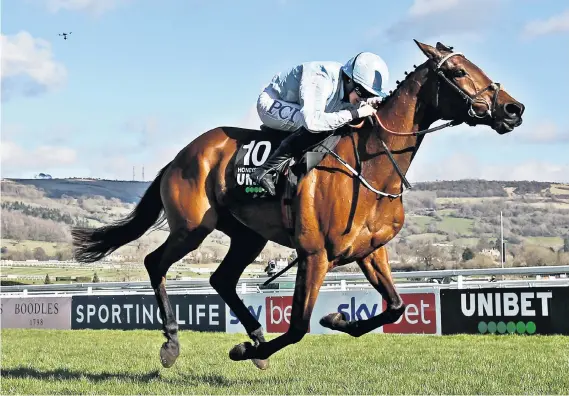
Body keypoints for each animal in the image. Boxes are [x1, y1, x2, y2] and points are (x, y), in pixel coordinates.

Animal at [71, 38, 524, 370]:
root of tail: (180, 156)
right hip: (192, 227)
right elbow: (298, 327)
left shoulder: (369, 251)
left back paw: (254, 333)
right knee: (155, 263)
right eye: (458, 71)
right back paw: (173, 341)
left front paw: (336, 318)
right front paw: (248, 349)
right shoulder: (313, 253)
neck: (373, 165)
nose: (512, 108)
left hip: (246, 236)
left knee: (221, 278)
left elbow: (395, 308)